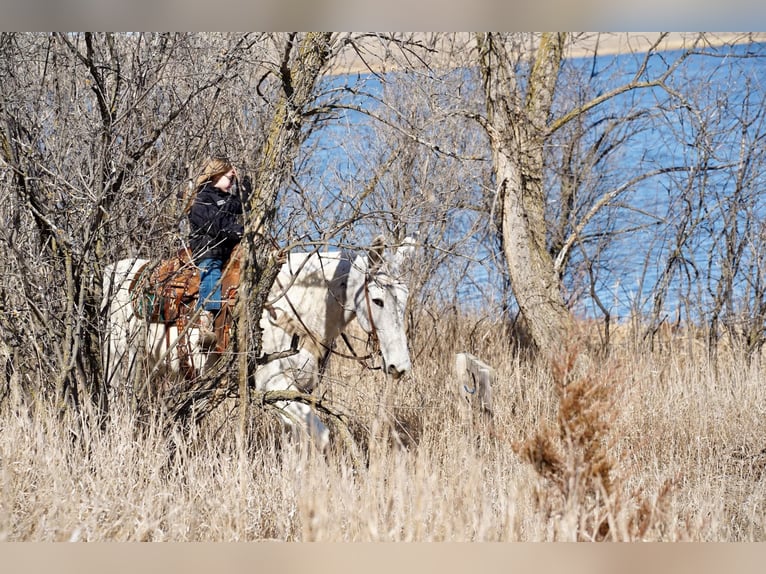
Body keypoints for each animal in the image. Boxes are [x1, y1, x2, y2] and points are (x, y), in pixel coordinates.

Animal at [103, 236, 416, 448]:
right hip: (121, 364)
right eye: (378, 299)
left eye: (404, 297)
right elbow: (320, 436)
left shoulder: (295, 393)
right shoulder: (274, 385)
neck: (290, 308)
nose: (399, 366)